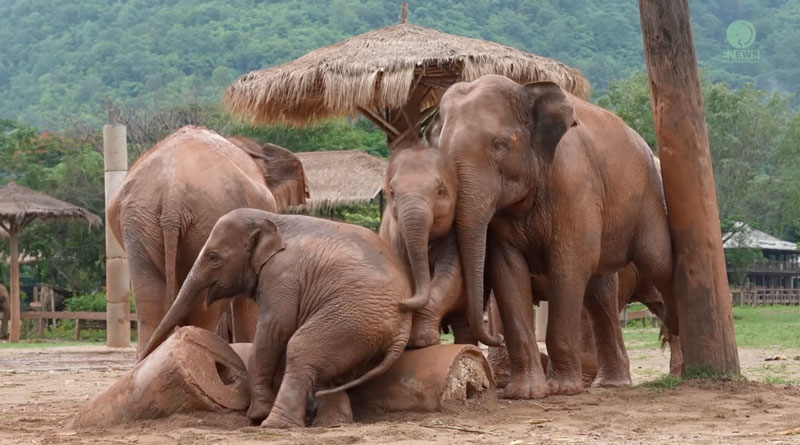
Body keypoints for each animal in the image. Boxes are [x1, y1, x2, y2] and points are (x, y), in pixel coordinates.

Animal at [139, 210, 412, 428]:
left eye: (213, 257)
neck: (272, 218)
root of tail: (403, 326)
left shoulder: (282, 276)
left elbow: (274, 329)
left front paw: (256, 414)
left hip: (351, 317)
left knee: (301, 349)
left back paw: (274, 424)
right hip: (360, 327)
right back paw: (332, 424)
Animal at [376, 146, 472, 346]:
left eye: (441, 191)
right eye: (392, 193)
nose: (401, 303)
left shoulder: (454, 235)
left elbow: (451, 274)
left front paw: (421, 341)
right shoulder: (395, 235)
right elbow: (405, 271)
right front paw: (414, 341)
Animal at [424, 74, 676, 398]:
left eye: (498, 145)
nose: (490, 338)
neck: (525, 90)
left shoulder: (573, 188)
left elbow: (568, 268)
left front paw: (563, 389)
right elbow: (508, 272)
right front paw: (525, 393)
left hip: (649, 200)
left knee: (657, 264)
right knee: (600, 294)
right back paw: (610, 383)